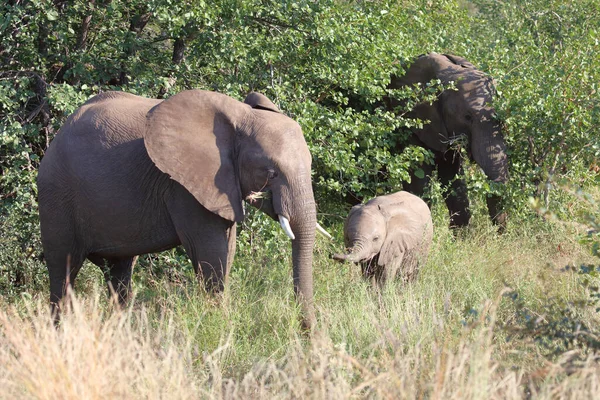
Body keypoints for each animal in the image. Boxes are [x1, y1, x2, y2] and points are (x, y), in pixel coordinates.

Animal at [37, 91, 318, 332]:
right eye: (271, 173)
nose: (306, 332)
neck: (239, 119)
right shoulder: (184, 186)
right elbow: (211, 252)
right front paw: (219, 330)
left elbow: (227, 250)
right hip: (56, 195)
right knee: (63, 271)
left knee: (118, 272)